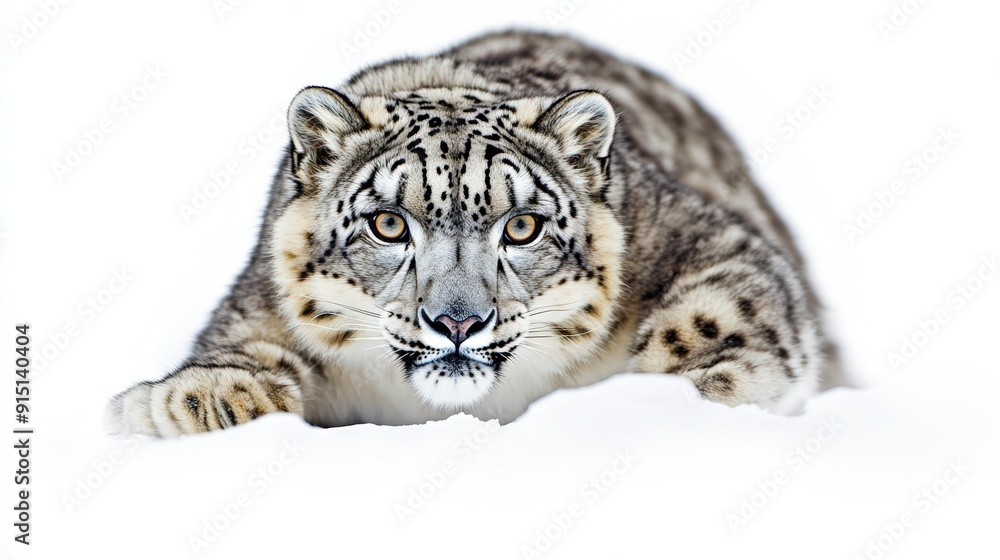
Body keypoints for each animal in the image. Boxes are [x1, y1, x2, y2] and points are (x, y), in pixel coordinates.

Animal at [106, 31, 841, 436]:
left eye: (521, 226)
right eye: (388, 223)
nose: (457, 322)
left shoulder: (714, 243)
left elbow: (720, 313)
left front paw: (670, 394)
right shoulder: (255, 309)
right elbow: (239, 354)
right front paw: (192, 403)